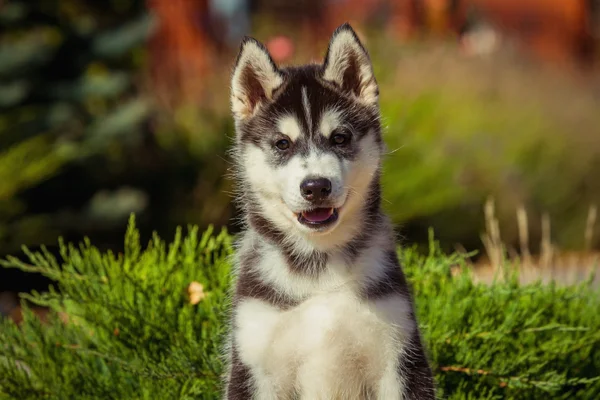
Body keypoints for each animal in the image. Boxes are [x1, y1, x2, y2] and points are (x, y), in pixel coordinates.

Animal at [225, 23, 436, 400]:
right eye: (282, 144)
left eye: (340, 138)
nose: (315, 186)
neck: (319, 269)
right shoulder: (252, 362)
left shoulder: (399, 355)